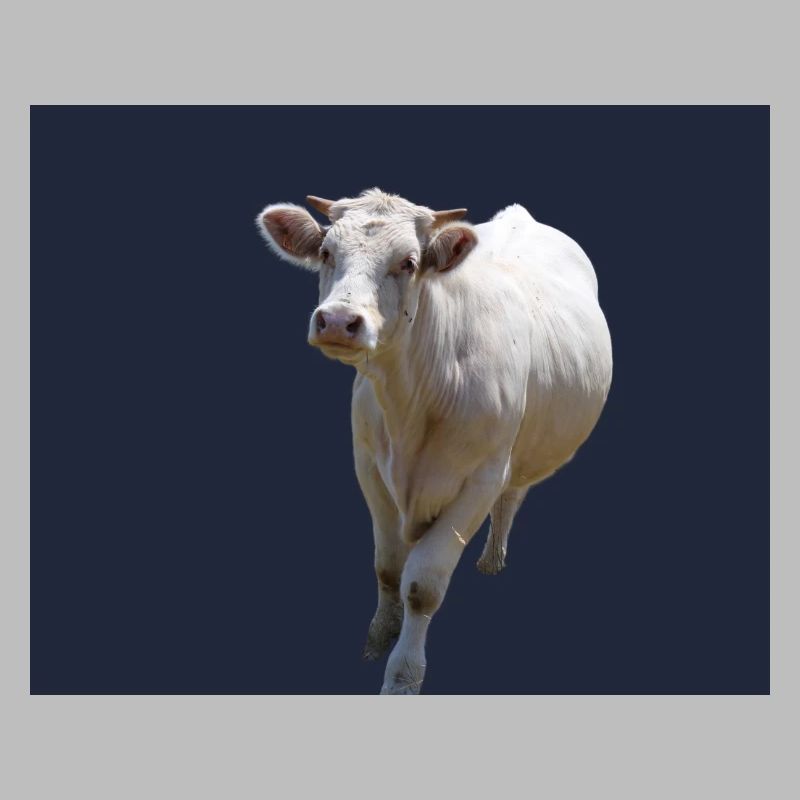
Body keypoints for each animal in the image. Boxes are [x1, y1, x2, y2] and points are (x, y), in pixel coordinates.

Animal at [257, 189, 613, 694]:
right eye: (326, 252)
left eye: (408, 262)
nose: (338, 320)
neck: (412, 401)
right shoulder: (368, 465)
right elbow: (388, 567)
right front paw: (376, 640)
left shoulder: (481, 480)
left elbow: (422, 586)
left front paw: (402, 677)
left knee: (513, 495)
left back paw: (492, 560)